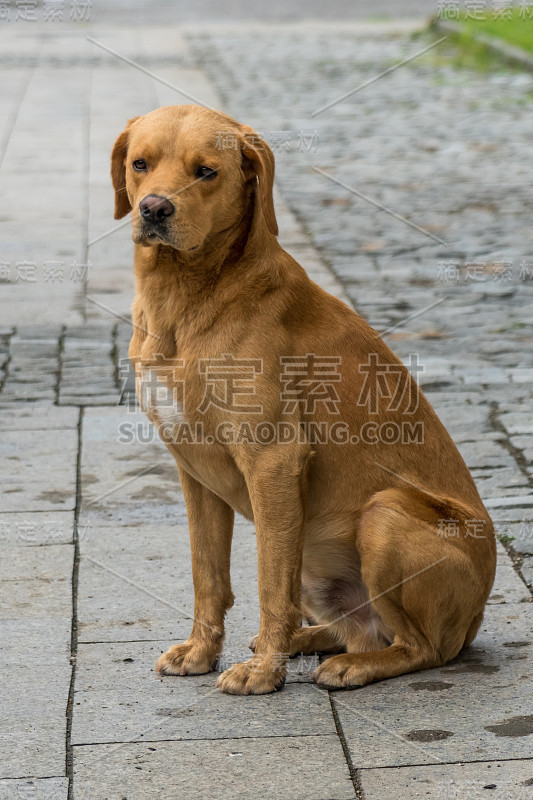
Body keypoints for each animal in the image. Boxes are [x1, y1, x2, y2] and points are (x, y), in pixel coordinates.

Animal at [111, 104, 494, 692]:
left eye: (206, 172)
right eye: (139, 164)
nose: (154, 208)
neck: (184, 296)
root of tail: (476, 617)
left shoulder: (273, 461)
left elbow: (270, 584)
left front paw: (263, 674)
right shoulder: (193, 471)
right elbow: (208, 576)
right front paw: (203, 651)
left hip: (382, 516)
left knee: (419, 647)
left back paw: (349, 664)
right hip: (317, 556)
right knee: (353, 627)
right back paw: (306, 640)